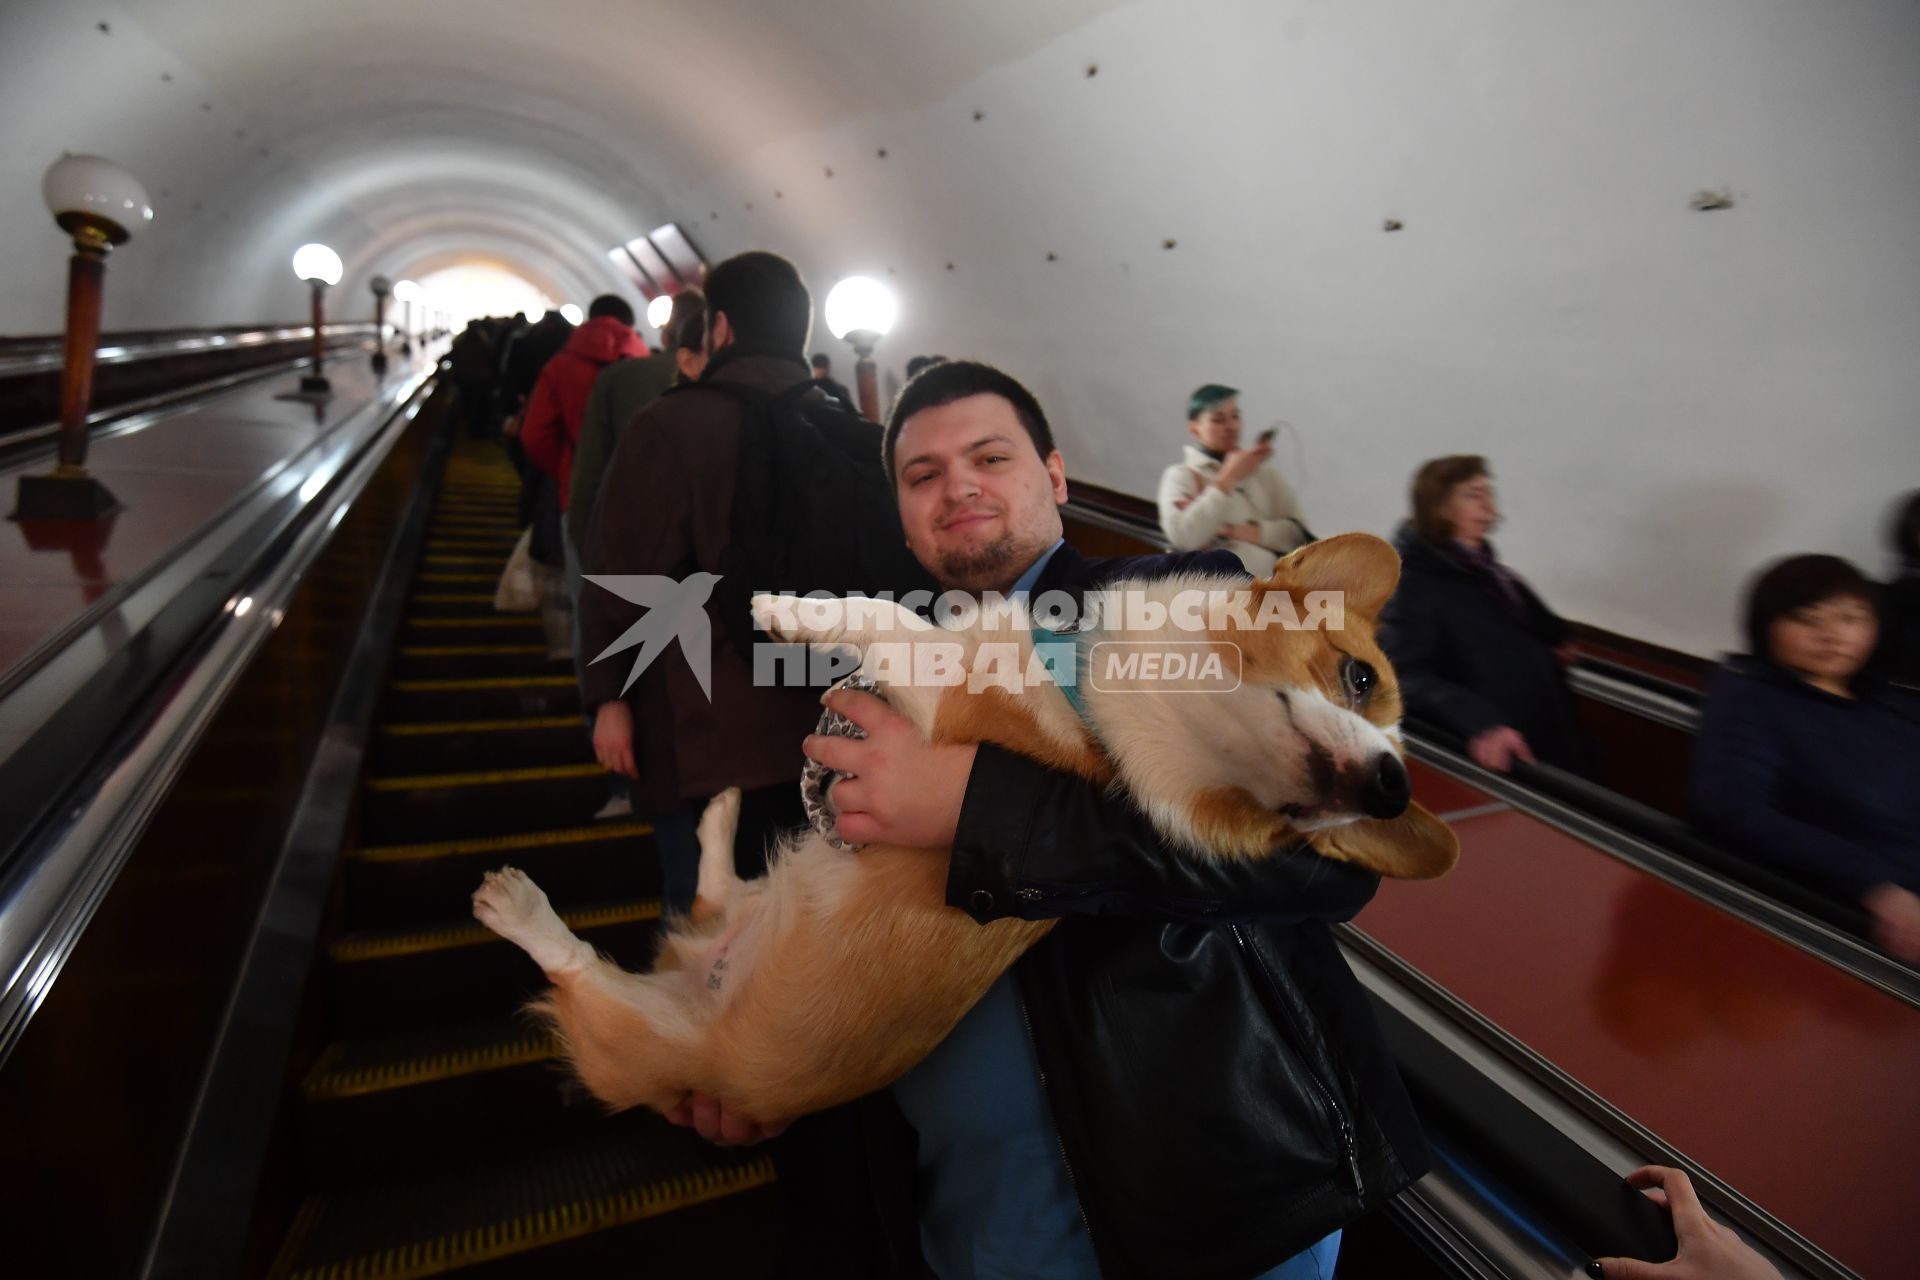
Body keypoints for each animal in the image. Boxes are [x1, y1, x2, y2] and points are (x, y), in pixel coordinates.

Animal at [468, 537, 1451, 1128]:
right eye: (1360, 675)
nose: (1391, 786)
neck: (1103, 701)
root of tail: (698, 971)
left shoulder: (941, 700)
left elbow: (891, 619)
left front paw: (794, 609)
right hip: (725, 922)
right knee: (714, 891)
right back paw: (720, 815)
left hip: (642, 1046)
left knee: (578, 974)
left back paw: (516, 906)